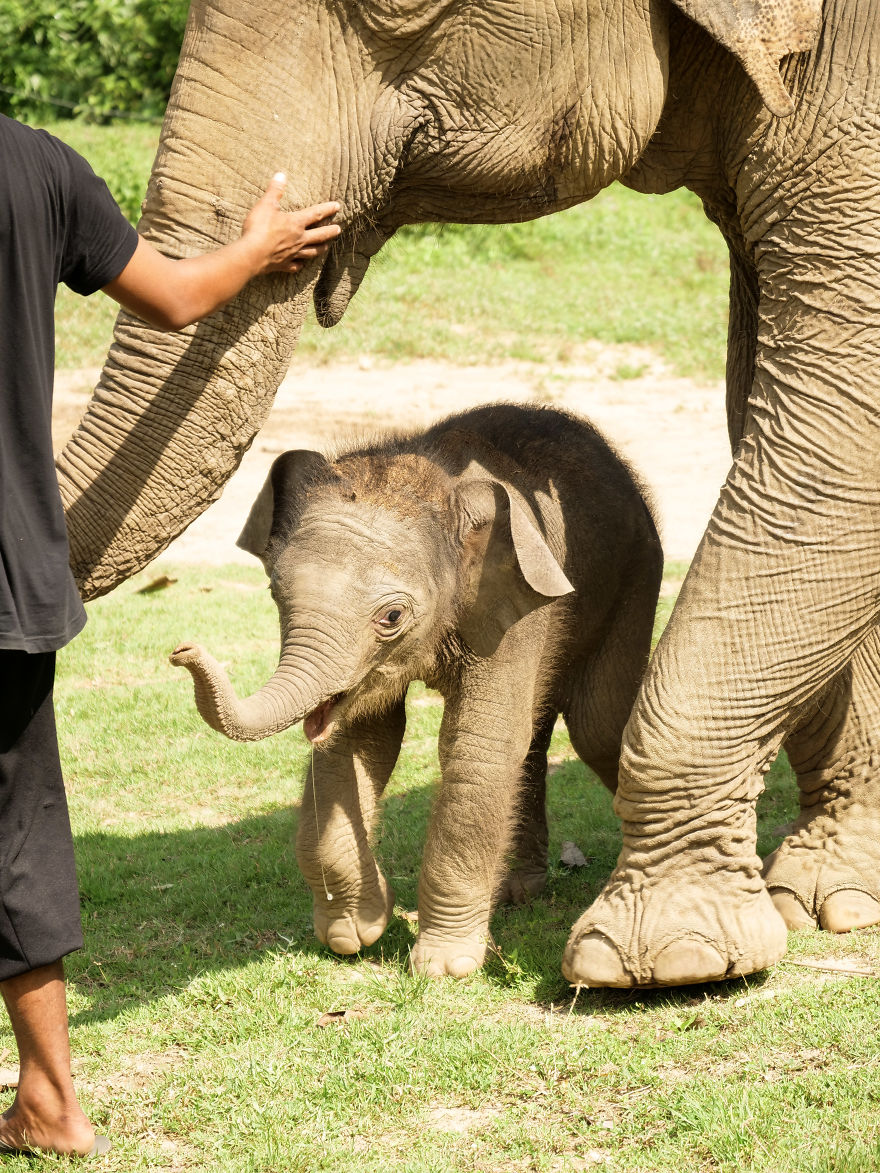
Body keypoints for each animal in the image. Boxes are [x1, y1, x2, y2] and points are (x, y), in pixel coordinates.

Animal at [170, 403, 663, 976]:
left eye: (392, 616)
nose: (181, 651)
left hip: (637, 574)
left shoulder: (516, 606)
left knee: (596, 727)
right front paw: (352, 931)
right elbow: (358, 743)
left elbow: (477, 746)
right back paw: (518, 892)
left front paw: (444, 967)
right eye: (275, 591)